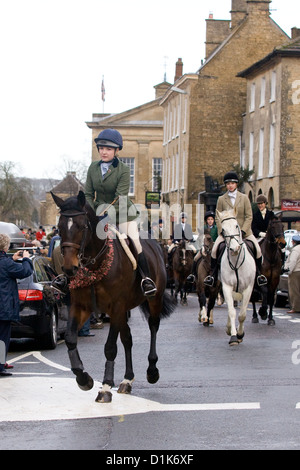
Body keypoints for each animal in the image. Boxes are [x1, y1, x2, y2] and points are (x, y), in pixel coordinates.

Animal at [50, 189, 175, 402]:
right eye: (59, 227)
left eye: (82, 226)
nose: (69, 268)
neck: (95, 264)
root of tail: (156, 245)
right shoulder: (81, 307)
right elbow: (70, 339)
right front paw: (84, 379)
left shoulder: (115, 307)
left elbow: (109, 347)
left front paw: (106, 387)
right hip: (124, 310)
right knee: (127, 338)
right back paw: (127, 380)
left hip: (153, 300)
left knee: (153, 327)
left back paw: (152, 371)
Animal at [217, 209, 256, 346]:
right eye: (223, 230)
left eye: (236, 226)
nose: (235, 249)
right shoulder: (227, 287)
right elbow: (232, 311)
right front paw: (233, 335)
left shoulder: (248, 288)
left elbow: (242, 314)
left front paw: (240, 334)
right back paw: (229, 329)